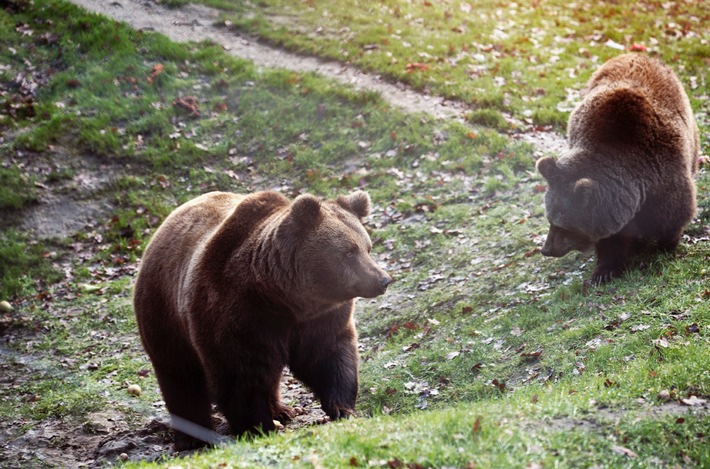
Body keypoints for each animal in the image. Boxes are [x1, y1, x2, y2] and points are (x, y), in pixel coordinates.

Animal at [134, 190, 394, 450]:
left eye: (367, 247)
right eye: (349, 252)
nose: (383, 279)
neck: (280, 295)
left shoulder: (319, 317)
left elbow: (328, 355)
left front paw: (342, 408)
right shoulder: (234, 312)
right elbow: (239, 374)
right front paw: (259, 428)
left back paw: (281, 410)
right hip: (164, 312)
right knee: (181, 377)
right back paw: (192, 438)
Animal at [540, 53, 700, 284]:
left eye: (562, 226)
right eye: (550, 219)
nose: (546, 249)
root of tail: (636, 54)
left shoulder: (665, 179)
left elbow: (673, 216)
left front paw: (663, 246)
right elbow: (611, 241)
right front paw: (605, 270)